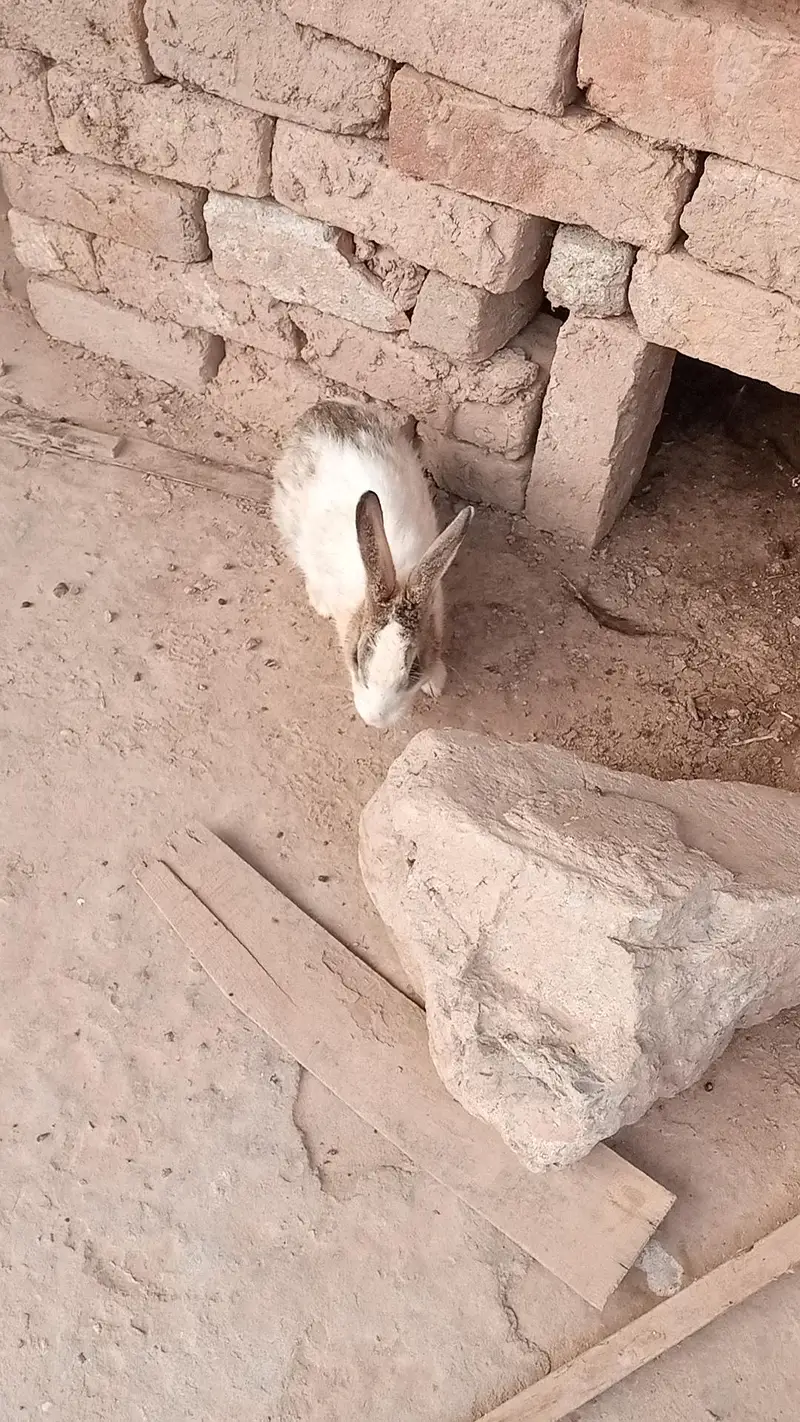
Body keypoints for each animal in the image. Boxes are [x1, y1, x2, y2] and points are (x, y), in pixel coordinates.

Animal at [271, 400, 473, 728]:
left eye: (415, 665)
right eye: (356, 655)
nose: (375, 719)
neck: (399, 579)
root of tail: (322, 408)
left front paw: (434, 682)